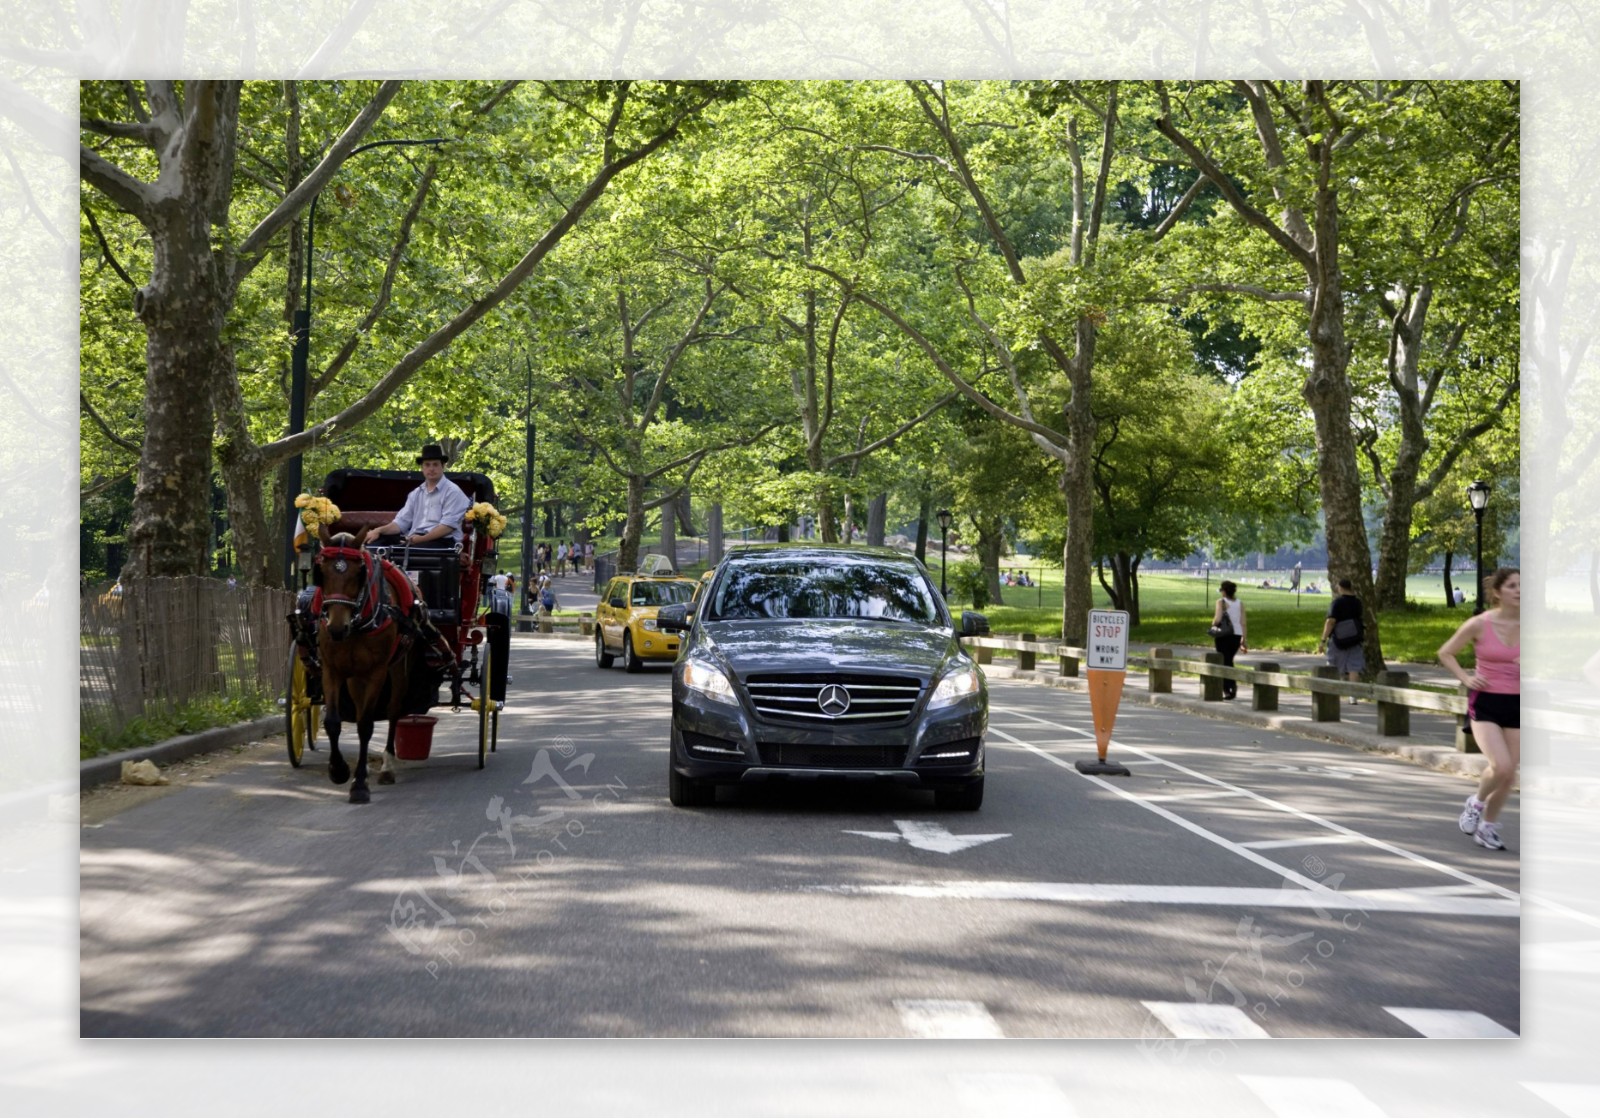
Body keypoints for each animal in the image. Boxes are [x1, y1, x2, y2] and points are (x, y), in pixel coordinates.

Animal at [313, 528, 428, 800]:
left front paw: (359, 786)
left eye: (359, 573)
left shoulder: (377, 671)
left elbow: (366, 725)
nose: (337, 628)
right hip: (356, 676)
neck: (357, 622)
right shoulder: (331, 670)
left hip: (398, 668)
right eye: (321, 572)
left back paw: (386, 767)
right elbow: (332, 722)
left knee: (394, 710)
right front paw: (339, 770)